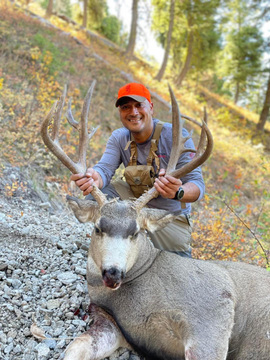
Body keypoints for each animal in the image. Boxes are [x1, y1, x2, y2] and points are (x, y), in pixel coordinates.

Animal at [41, 82, 270, 360]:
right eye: (98, 228)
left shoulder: (214, 309)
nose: (112, 273)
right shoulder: (111, 322)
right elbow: (76, 347)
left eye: (136, 232)